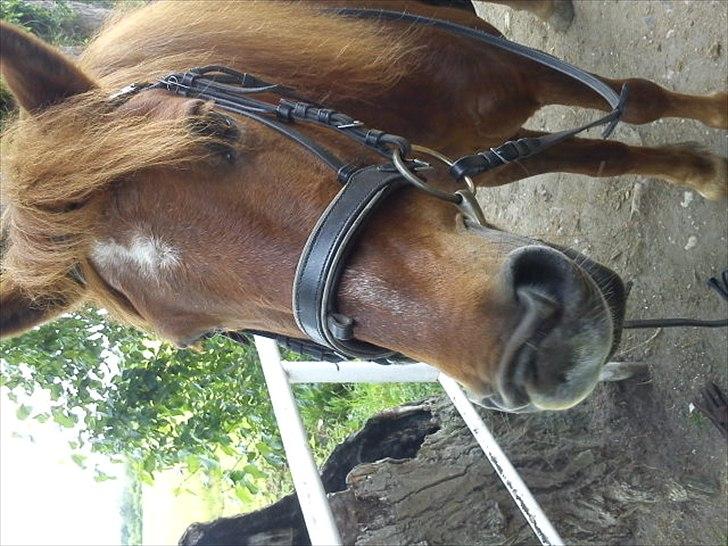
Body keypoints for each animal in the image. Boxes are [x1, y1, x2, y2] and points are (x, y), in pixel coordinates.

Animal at [1, 0, 726, 412]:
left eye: (218, 132)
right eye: (202, 334)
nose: (531, 345)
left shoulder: (512, 70)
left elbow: (640, 98)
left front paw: (713, 140)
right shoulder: (474, 153)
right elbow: (597, 156)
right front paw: (699, 170)